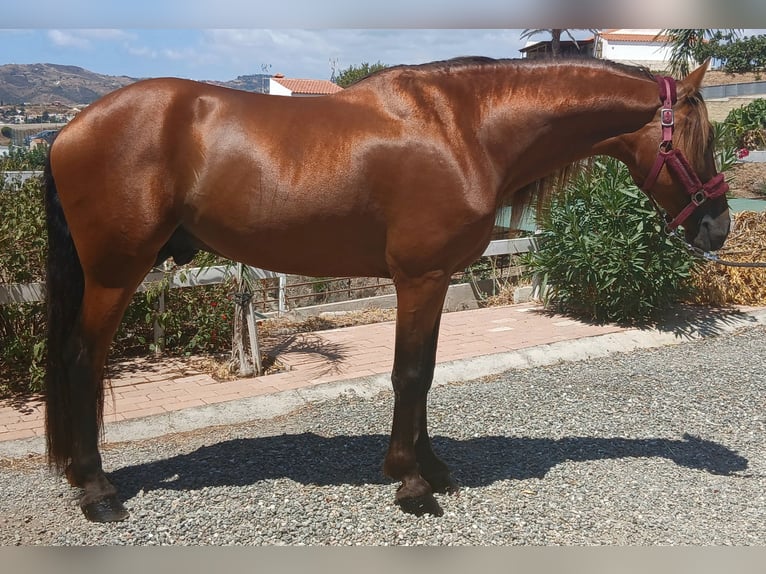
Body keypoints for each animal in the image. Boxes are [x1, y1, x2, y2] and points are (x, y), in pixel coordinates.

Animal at [43, 56, 730, 522]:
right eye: (699, 141)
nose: (718, 227)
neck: (464, 129)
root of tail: (66, 132)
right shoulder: (418, 278)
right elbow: (409, 374)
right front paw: (411, 483)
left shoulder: (438, 278)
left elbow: (424, 372)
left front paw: (432, 468)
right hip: (115, 273)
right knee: (82, 359)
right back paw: (98, 491)